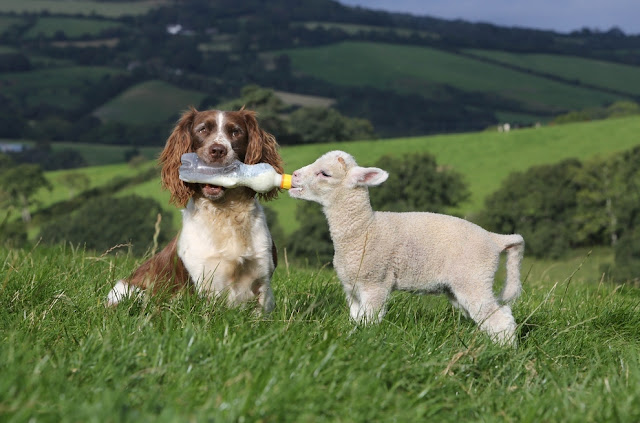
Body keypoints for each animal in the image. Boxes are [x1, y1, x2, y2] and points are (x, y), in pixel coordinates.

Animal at [107, 107, 282, 314]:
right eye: (202, 129)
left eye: (235, 132)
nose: (217, 150)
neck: (224, 213)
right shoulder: (202, 282)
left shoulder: (262, 277)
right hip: (130, 291)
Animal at [290, 151, 524, 346]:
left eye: (325, 173)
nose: (294, 175)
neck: (364, 229)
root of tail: (495, 239)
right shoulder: (352, 287)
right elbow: (356, 319)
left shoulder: (375, 282)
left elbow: (369, 321)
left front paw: (366, 341)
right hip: (461, 286)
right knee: (499, 314)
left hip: (473, 278)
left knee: (499, 319)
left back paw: (505, 352)